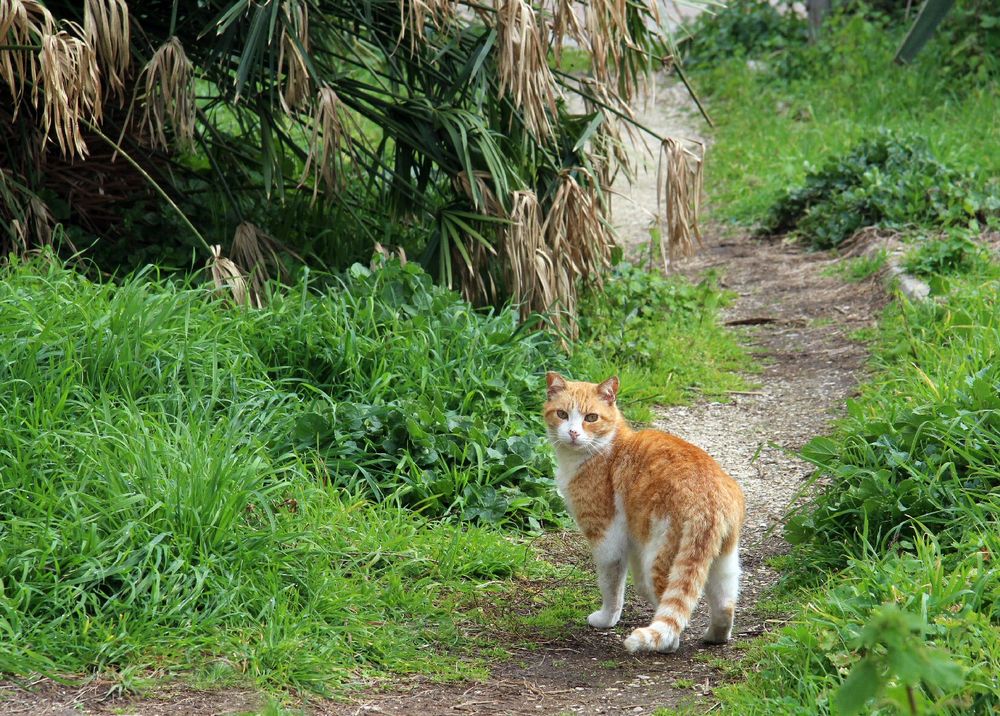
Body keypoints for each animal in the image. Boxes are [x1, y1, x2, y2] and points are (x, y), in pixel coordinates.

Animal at [548, 374, 744, 656]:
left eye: (591, 418)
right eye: (562, 414)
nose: (573, 432)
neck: (606, 449)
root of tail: (708, 499)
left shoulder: (606, 539)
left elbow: (611, 587)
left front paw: (606, 619)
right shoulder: (632, 541)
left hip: (660, 560)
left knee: (671, 616)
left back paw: (663, 644)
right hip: (724, 559)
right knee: (725, 604)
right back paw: (715, 636)